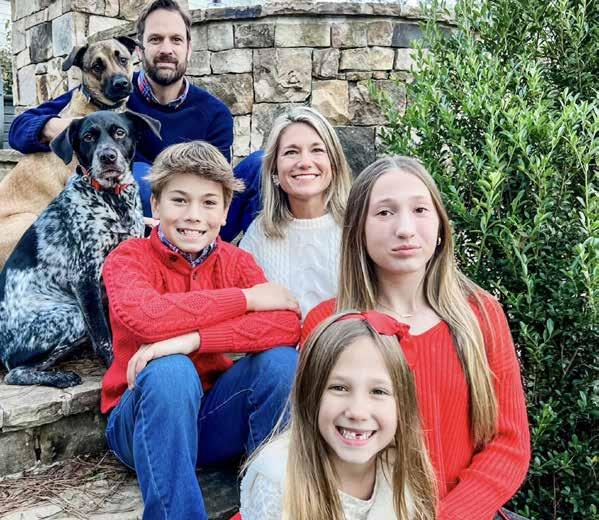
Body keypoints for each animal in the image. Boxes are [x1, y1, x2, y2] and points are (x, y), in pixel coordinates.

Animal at [0, 110, 161, 388]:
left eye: (120, 132)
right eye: (88, 137)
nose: (107, 156)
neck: (113, 199)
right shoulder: (85, 278)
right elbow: (104, 337)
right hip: (71, 316)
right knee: (15, 371)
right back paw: (60, 376)